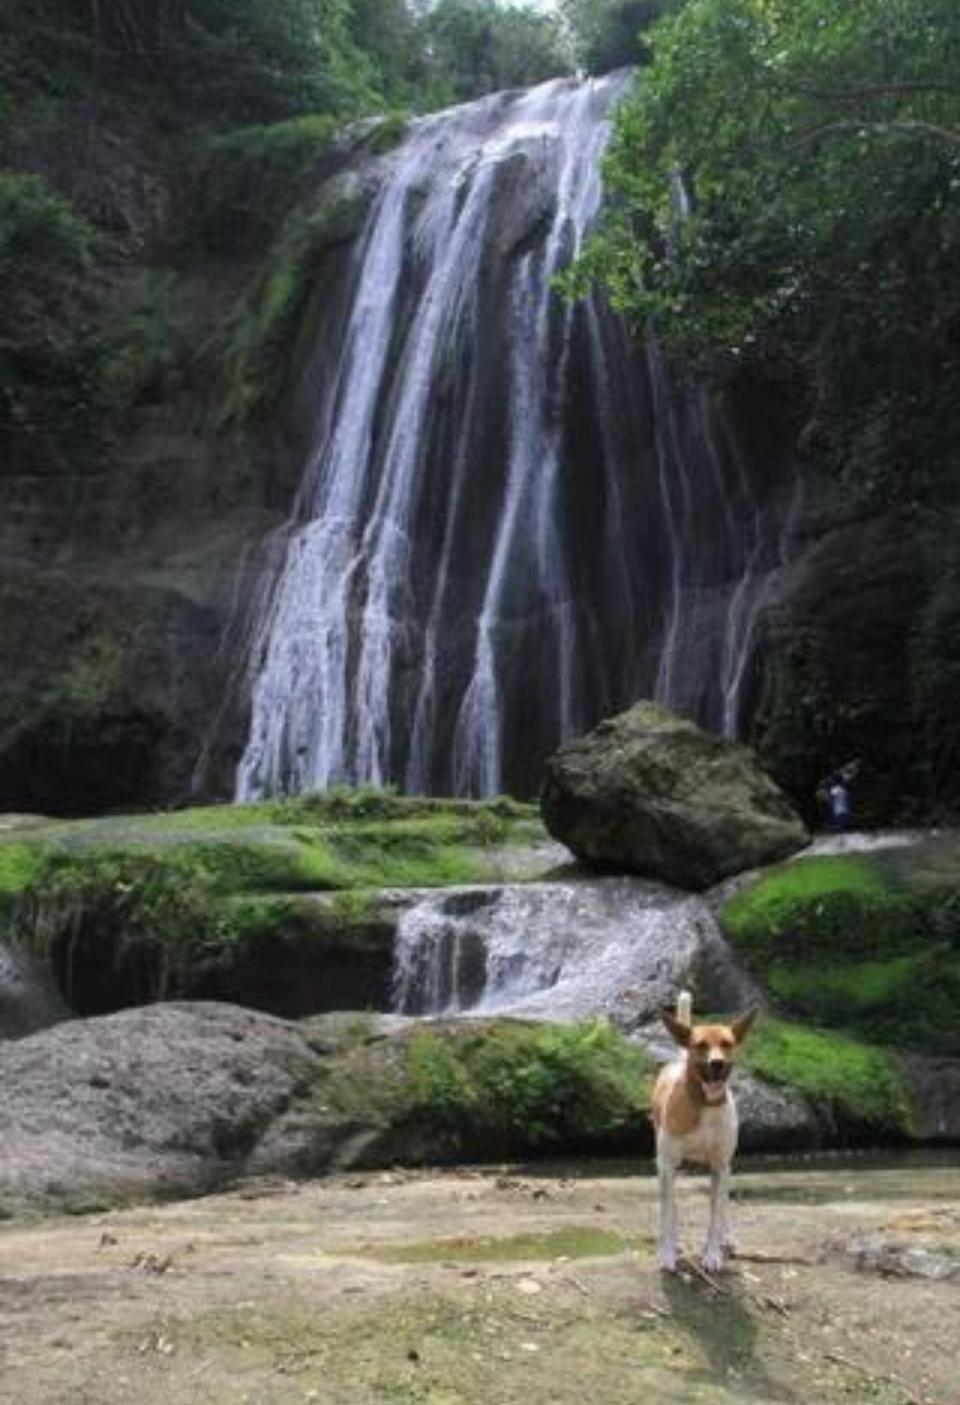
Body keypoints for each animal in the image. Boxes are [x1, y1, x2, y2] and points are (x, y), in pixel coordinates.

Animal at [652, 989, 759, 1275]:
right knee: (671, 1203)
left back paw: (726, 1238)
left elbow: (716, 1214)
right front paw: (667, 1253)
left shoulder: (720, 1166)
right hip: (666, 1166)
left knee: (722, 1204)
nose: (717, 1063)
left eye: (727, 1043)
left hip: (723, 1168)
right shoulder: (667, 1165)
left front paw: (712, 1254)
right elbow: (667, 1214)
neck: (705, 1105)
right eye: (700, 1045)